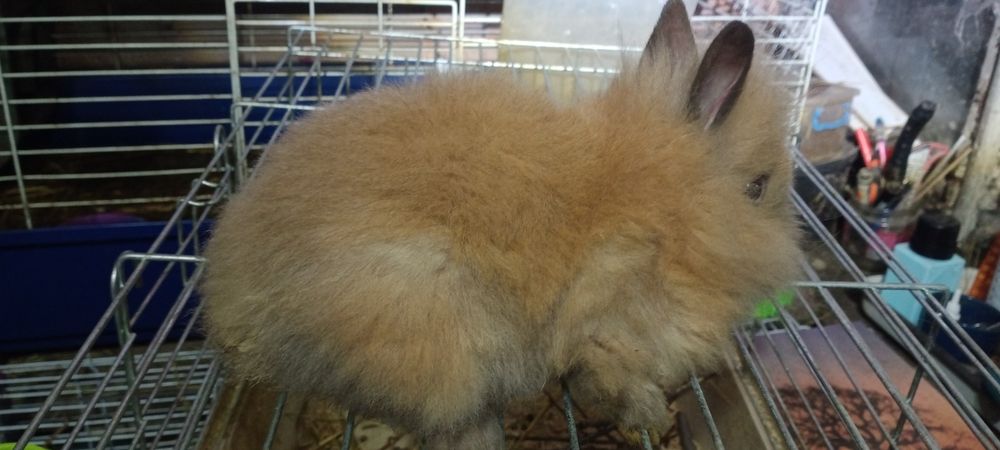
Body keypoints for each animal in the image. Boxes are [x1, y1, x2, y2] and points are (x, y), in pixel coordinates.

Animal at [200, 0, 802, 447]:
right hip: (437, 335)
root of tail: (230, 312)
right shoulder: (605, 327)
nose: (789, 244)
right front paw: (650, 415)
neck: (668, 204)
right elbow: (604, 379)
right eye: (757, 188)